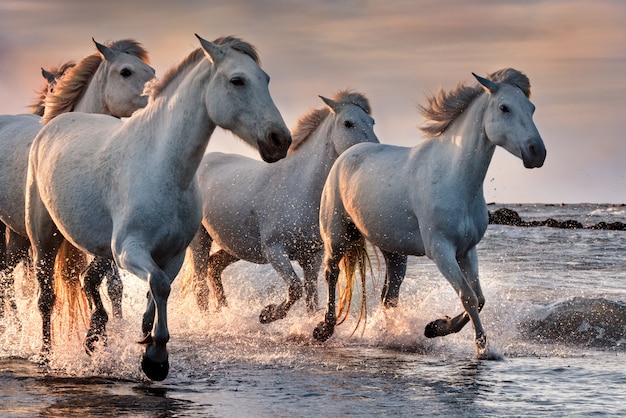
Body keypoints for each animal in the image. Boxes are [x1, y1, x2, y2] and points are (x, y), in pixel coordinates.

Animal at [26, 36, 292, 380]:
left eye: (266, 79)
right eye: (238, 80)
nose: (279, 140)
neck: (162, 168)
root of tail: (54, 123)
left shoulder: (172, 253)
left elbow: (158, 286)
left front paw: (145, 335)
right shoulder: (130, 250)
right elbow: (160, 285)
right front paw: (155, 357)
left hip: (98, 248)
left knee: (89, 282)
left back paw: (94, 337)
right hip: (44, 238)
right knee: (46, 297)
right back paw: (46, 356)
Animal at [184, 90, 376, 322]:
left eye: (372, 121)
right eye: (348, 123)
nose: (371, 149)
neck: (299, 188)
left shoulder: (312, 258)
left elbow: (311, 299)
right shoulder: (275, 252)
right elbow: (295, 288)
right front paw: (268, 314)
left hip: (234, 245)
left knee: (214, 267)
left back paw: (224, 312)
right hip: (200, 240)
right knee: (200, 286)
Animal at [314, 69, 544, 356]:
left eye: (531, 108)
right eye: (504, 108)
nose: (537, 152)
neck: (454, 178)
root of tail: (346, 155)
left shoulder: (466, 251)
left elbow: (479, 299)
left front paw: (434, 328)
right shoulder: (441, 251)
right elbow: (468, 296)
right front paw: (481, 348)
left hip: (394, 252)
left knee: (389, 296)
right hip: (337, 237)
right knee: (331, 273)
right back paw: (324, 329)